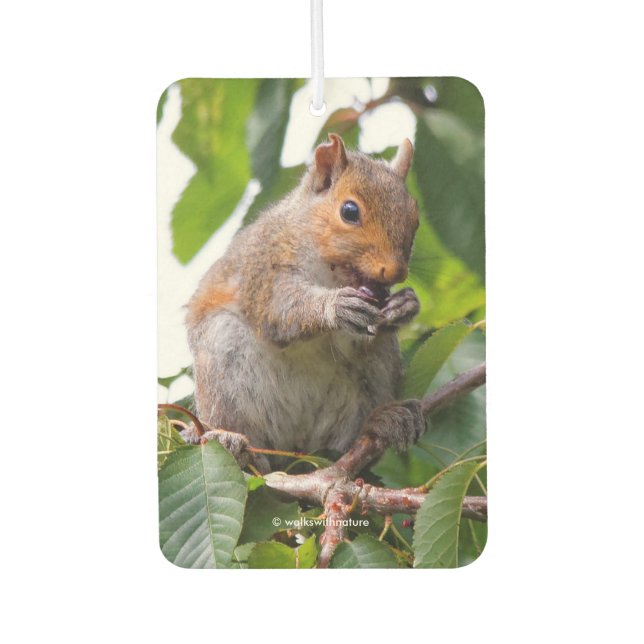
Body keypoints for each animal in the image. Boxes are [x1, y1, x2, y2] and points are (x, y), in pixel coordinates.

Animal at [182, 134, 425, 470]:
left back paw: (384, 421)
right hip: (223, 359)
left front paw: (406, 306)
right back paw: (234, 445)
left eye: (415, 219)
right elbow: (279, 309)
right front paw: (334, 307)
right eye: (350, 211)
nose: (395, 272)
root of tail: (295, 450)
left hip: (377, 370)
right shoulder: (265, 267)